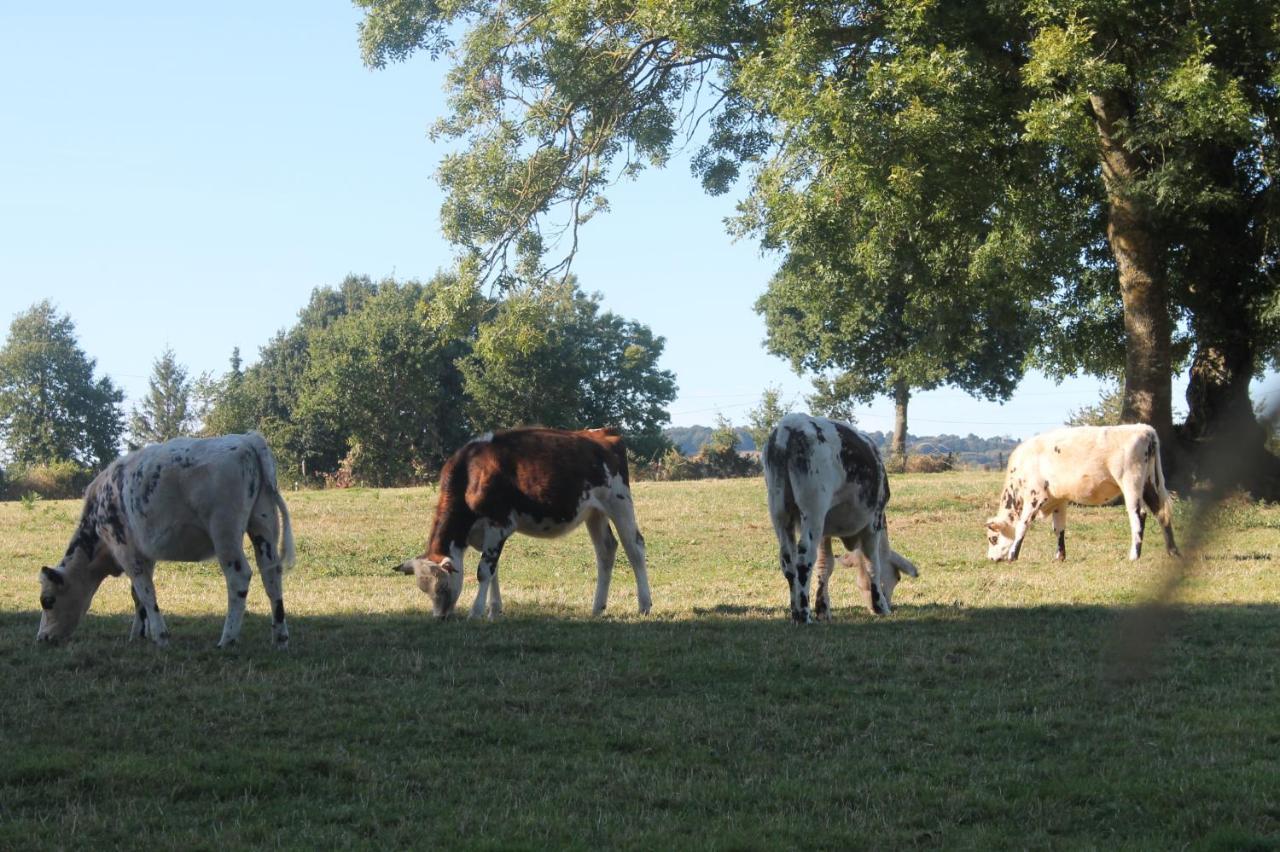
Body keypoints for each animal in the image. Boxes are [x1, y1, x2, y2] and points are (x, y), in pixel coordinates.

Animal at [35, 432, 296, 644]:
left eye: (47, 600)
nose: (42, 638)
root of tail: (247, 439)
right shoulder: (144, 555)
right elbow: (137, 596)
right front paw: (138, 635)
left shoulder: (126, 552)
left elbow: (146, 592)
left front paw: (160, 636)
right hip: (263, 523)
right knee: (271, 574)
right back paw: (280, 637)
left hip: (225, 532)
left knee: (239, 577)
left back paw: (227, 639)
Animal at [762, 409, 916, 621]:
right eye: (897, 577)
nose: (891, 605)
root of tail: (790, 426)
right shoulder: (873, 522)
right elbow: (873, 564)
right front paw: (880, 606)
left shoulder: (824, 532)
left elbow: (825, 565)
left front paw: (823, 608)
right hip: (813, 509)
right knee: (803, 559)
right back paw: (803, 614)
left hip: (779, 511)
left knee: (788, 562)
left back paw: (795, 611)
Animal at [983, 422, 1182, 557]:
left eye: (993, 538)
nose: (991, 558)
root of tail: (1144, 429)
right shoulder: (1059, 500)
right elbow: (1059, 528)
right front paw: (1059, 556)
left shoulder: (1035, 496)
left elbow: (1022, 526)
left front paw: (1013, 555)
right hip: (1149, 484)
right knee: (1161, 513)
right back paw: (1172, 552)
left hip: (1131, 483)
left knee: (1139, 515)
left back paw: (1134, 555)